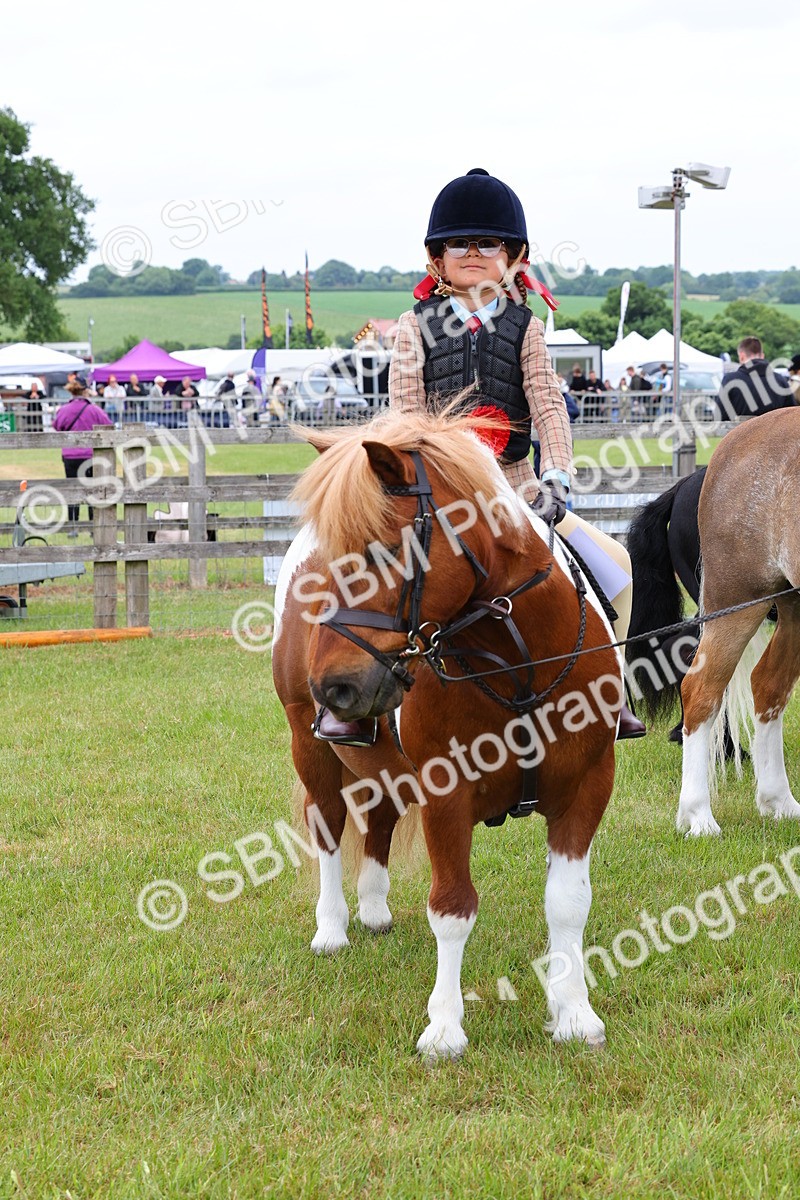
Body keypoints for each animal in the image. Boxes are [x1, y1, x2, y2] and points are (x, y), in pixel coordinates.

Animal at [271, 405, 624, 1059]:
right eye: (328, 561)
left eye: (385, 549)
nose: (333, 687)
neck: (518, 660)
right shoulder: (446, 794)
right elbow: (453, 908)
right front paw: (445, 1027)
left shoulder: (586, 786)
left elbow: (568, 904)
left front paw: (573, 1013)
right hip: (310, 743)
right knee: (326, 821)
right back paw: (332, 926)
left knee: (379, 812)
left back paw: (374, 906)